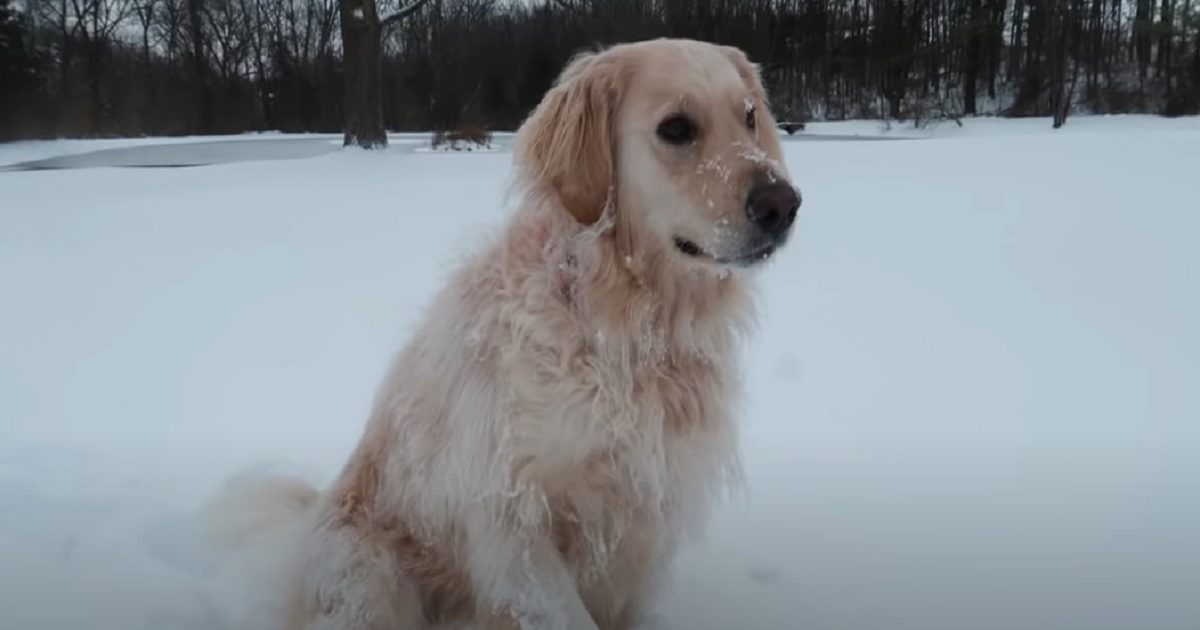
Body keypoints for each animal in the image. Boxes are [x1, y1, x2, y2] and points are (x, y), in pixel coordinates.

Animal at [201, 38, 801, 628]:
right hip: (374, 577)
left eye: (749, 117)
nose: (784, 204)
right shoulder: (515, 526)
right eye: (676, 128)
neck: (617, 325)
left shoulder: (646, 526)